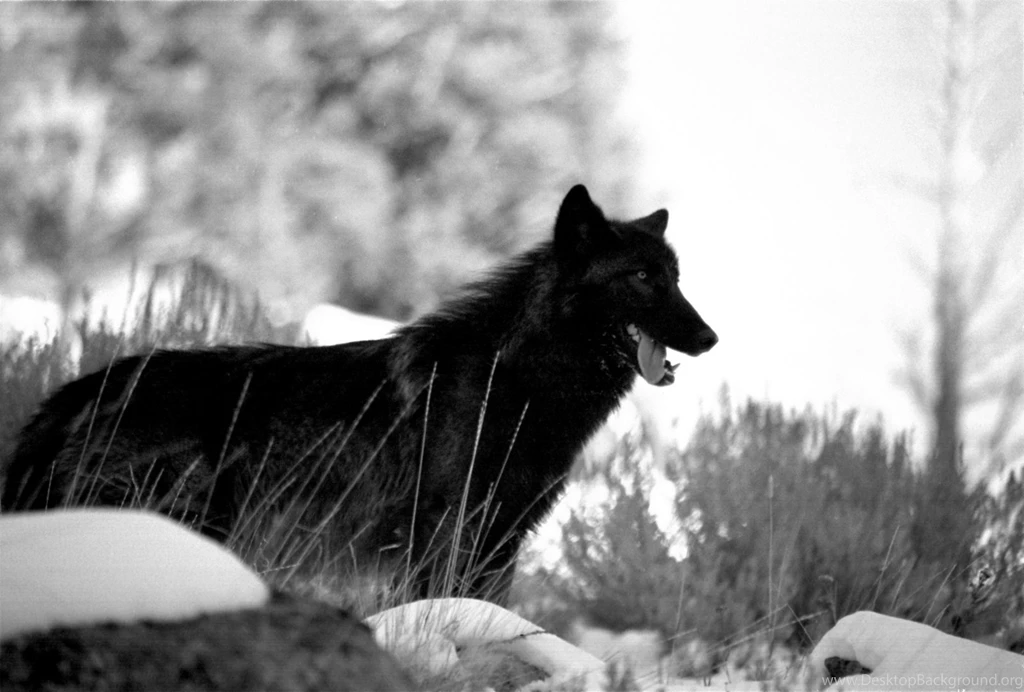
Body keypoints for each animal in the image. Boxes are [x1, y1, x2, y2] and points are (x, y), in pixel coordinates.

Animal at [1, 185, 716, 601]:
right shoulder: (445, 533)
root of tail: (79, 389)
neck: (514, 379)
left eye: (678, 278)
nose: (711, 338)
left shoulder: (502, 539)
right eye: (643, 277)